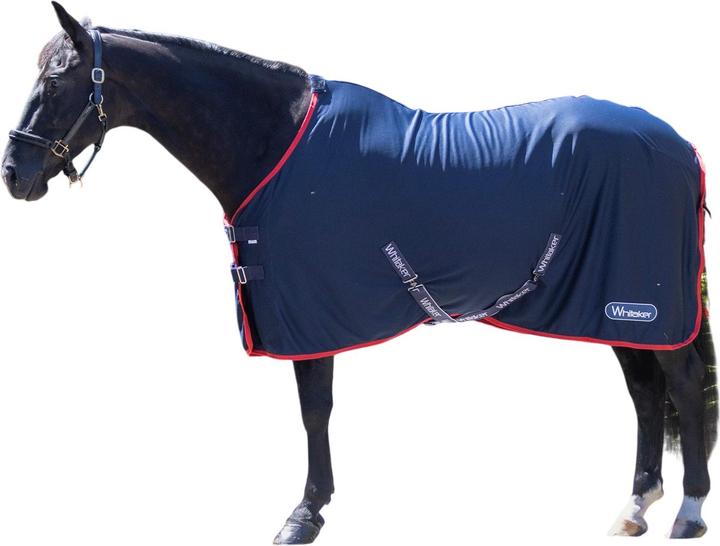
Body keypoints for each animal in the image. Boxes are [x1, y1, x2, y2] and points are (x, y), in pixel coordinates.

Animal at [2, 2, 716, 543]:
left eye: (57, 82)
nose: (14, 174)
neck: (274, 143)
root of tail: (680, 145)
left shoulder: (310, 312)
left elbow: (314, 410)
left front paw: (305, 513)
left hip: (645, 303)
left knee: (683, 387)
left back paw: (687, 511)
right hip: (611, 303)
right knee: (645, 393)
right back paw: (635, 506)